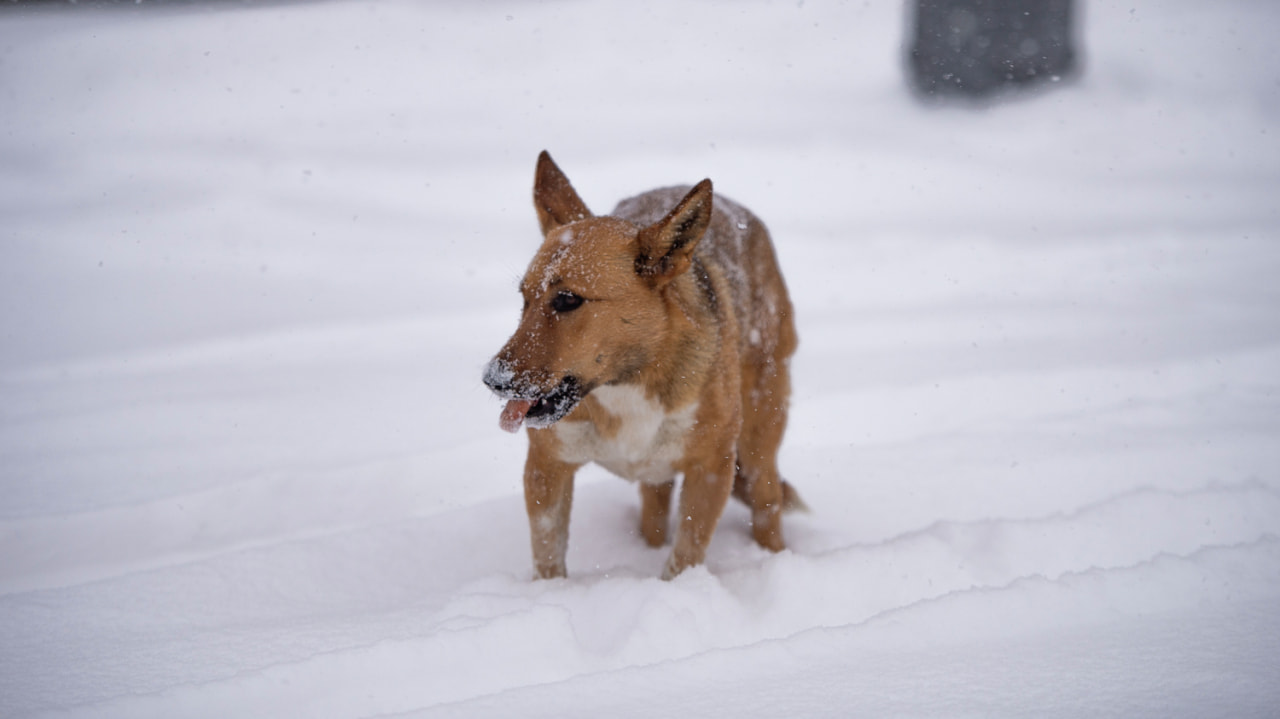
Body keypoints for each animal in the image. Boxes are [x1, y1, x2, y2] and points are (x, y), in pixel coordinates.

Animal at [481, 150, 798, 575]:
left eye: (567, 299)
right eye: (524, 299)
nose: (493, 379)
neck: (626, 382)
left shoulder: (711, 468)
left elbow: (684, 559)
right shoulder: (547, 466)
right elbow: (548, 558)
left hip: (760, 429)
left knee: (767, 501)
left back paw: (775, 558)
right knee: (654, 508)